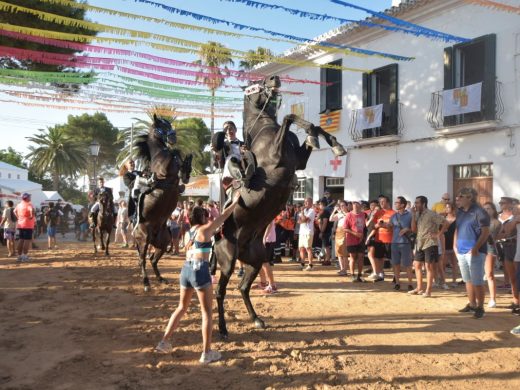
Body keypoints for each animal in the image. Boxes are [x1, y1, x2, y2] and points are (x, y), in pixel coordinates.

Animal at [133, 114, 192, 290]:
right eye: (161, 125)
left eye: (169, 124)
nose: (173, 137)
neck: (159, 153)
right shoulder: (164, 171)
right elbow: (172, 155)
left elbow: (182, 170)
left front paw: (187, 162)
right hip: (144, 240)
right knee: (143, 260)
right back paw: (146, 283)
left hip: (164, 242)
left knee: (153, 259)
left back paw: (160, 278)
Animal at [211, 74, 346, 336]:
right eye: (255, 85)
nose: (275, 78)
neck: (264, 130)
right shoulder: (277, 156)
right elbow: (289, 118)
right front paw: (318, 136)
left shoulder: (299, 162)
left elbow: (312, 126)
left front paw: (334, 143)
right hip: (228, 262)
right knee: (220, 292)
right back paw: (222, 328)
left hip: (255, 261)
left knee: (243, 287)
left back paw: (256, 319)